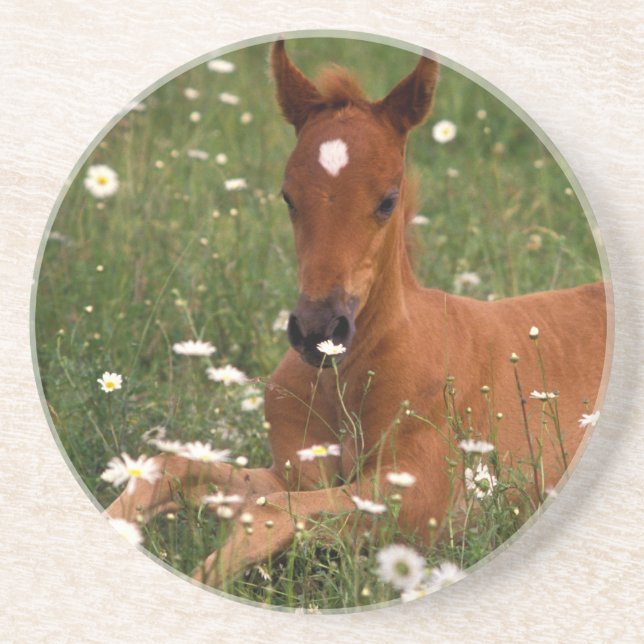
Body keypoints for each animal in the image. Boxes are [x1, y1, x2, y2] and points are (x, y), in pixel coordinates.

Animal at [107, 40, 607, 588]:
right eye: (288, 197)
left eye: (388, 200)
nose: (317, 330)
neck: (344, 380)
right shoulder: (293, 469)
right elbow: (179, 469)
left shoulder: (418, 497)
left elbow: (273, 510)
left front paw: (209, 575)